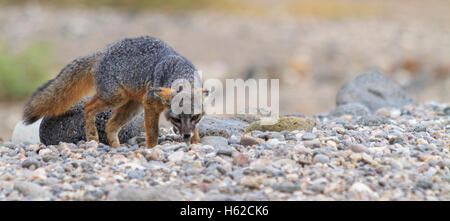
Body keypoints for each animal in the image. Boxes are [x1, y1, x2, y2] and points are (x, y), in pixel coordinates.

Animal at [22, 35, 207, 148]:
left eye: (195, 117)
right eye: (176, 119)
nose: (186, 135)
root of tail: (104, 52)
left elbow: (197, 131)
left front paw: (196, 143)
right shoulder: (150, 104)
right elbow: (153, 133)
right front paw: (153, 149)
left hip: (133, 107)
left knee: (110, 125)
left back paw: (116, 149)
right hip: (115, 98)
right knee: (88, 107)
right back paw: (92, 136)